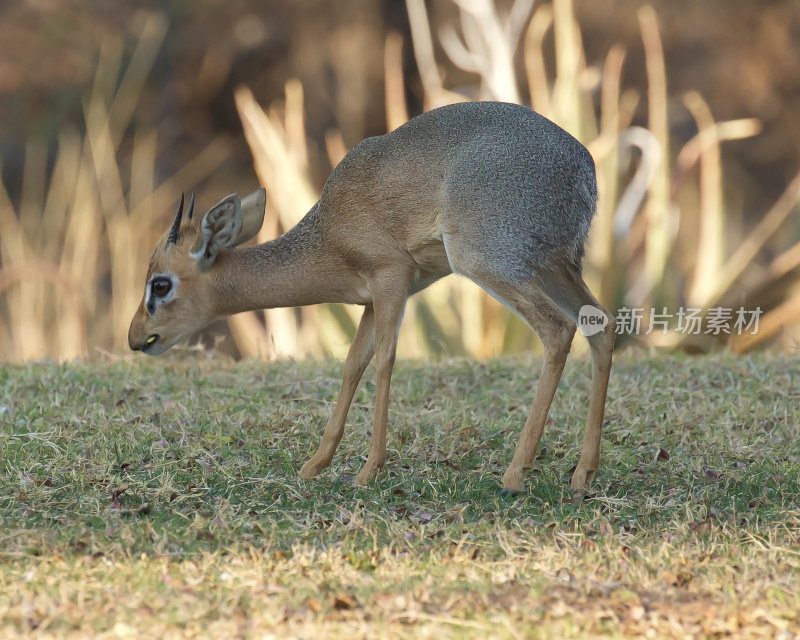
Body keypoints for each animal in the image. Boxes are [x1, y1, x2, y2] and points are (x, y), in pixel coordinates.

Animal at [128, 100, 616, 492]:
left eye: (160, 284)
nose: (136, 337)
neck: (329, 231)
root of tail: (585, 168)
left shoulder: (391, 279)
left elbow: (384, 359)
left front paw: (369, 469)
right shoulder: (367, 300)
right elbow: (352, 364)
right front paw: (316, 464)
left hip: (491, 264)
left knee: (558, 330)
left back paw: (515, 474)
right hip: (554, 268)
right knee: (601, 325)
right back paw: (583, 473)